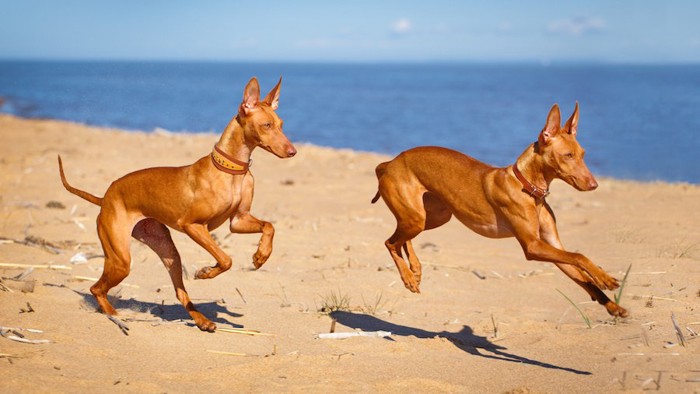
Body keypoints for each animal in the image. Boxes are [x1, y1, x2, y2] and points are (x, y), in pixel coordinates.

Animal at [58, 77, 296, 332]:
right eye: (267, 125)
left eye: (281, 124)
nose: (293, 151)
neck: (231, 170)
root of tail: (105, 198)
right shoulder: (192, 225)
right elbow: (226, 259)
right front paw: (206, 272)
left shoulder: (238, 221)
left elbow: (269, 226)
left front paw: (262, 255)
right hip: (121, 259)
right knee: (96, 288)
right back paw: (113, 314)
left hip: (167, 251)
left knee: (180, 292)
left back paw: (202, 320)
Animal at [374, 104, 628, 318]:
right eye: (568, 155)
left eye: (583, 154)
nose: (594, 185)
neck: (528, 188)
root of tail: (391, 162)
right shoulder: (533, 246)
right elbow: (579, 256)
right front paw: (606, 279)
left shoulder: (552, 244)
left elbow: (581, 274)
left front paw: (612, 304)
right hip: (417, 218)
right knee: (390, 242)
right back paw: (408, 277)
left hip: (433, 216)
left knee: (402, 238)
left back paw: (415, 270)